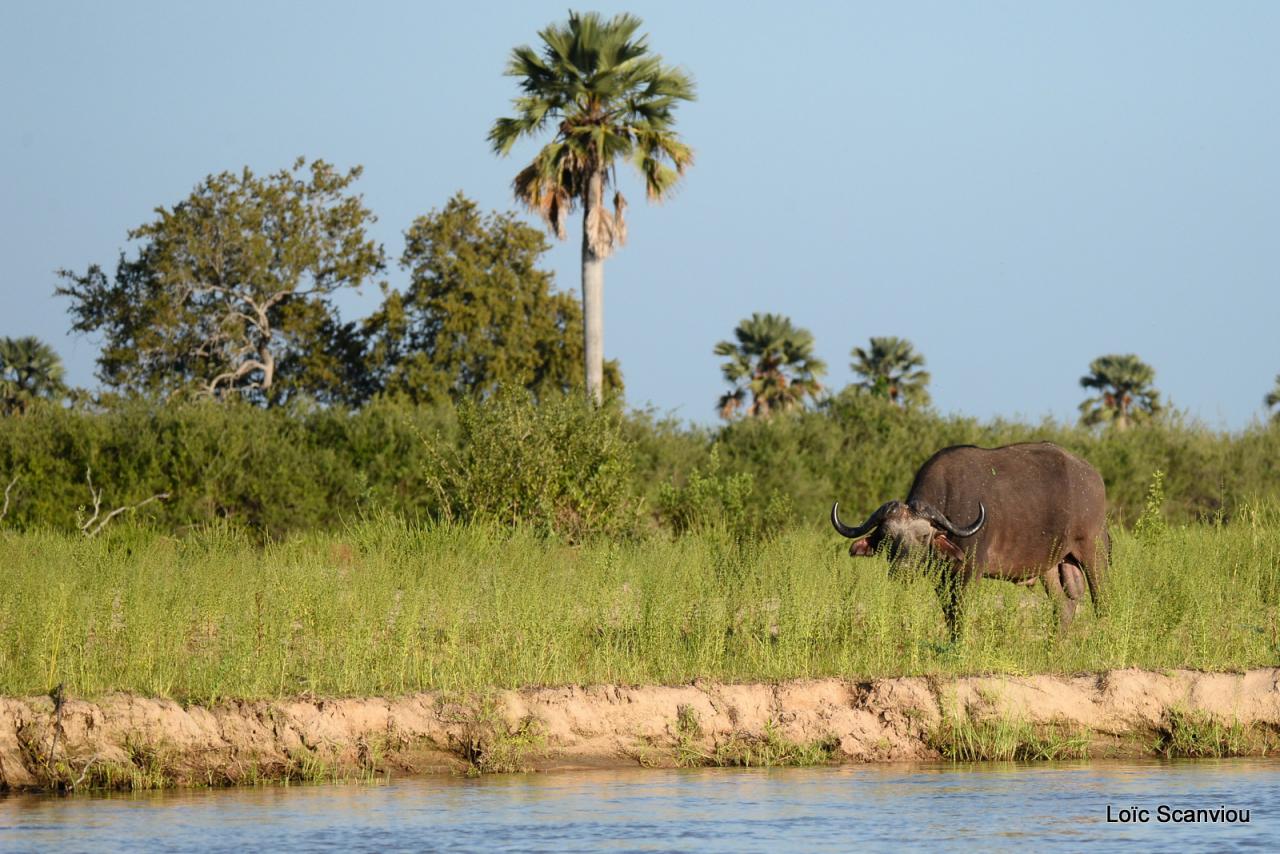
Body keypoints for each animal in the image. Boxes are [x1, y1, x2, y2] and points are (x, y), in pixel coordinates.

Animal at [834, 445, 1105, 637]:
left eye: (923, 536)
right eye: (888, 538)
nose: (903, 571)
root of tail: (1093, 476)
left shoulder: (970, 571)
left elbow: (961, 611)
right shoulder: (941, 577)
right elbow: (949, 613)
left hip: (1094, 553)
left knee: (1101, 599)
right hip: (1050, 566)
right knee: (1064, 606)